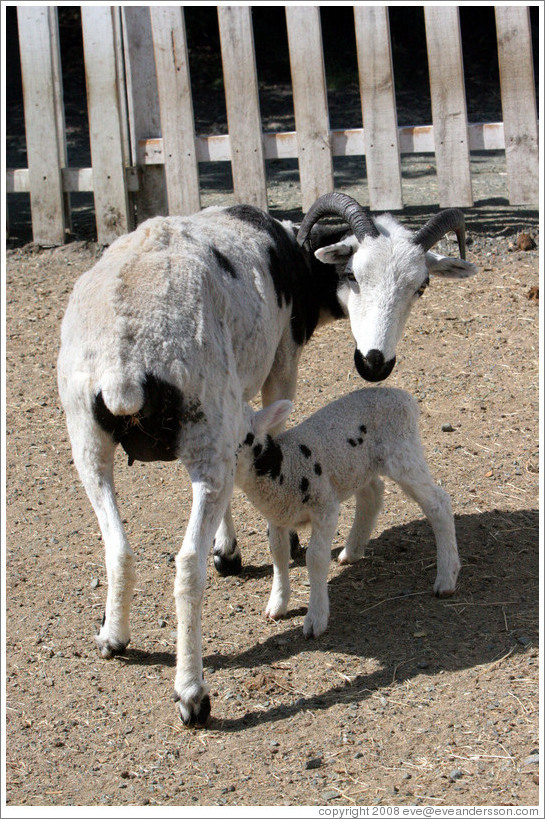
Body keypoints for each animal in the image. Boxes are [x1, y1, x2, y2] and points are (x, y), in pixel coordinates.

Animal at [235, 388, 460, 640]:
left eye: (246, 437)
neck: (283, 466)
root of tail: (403, 395)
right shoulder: (276, 518)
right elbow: (278, 553)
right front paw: (277, 603)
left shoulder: (325, 508)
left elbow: (315, 558)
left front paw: (315, 618)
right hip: (359, 466)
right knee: (372, 496)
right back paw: (352, 550)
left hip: (402, 453)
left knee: (439, 504)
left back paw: (446, 578)